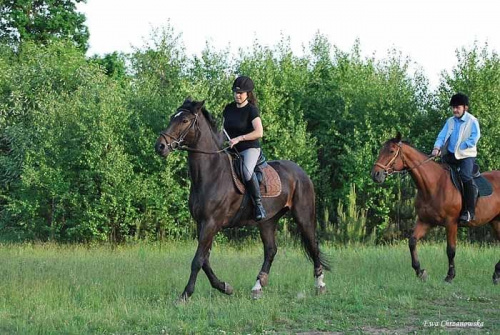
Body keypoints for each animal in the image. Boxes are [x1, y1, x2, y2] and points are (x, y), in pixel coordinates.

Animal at [154, 100, 330, 302]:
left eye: (184, 120)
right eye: (172, 118)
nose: (160, 146)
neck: (211, 173)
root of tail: (301, 172)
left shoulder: (211, 223)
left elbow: (198, 260)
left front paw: (185, 295)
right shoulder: (202, 223)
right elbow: (205, 259)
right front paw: (225, 287)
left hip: (303, 216)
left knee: (313, 246)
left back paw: (320, 285)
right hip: (268, 221)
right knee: (271, 250)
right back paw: (257, 287)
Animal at [372, 133, 500, 284]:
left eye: (391, 151)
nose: (375, 174)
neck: (434, 185)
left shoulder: (451, 223)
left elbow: (451, 250)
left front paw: (450, 276)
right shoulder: (425, 221)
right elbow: (412, 242)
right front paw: (420, 271)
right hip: (496, 221)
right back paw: (496, 274)